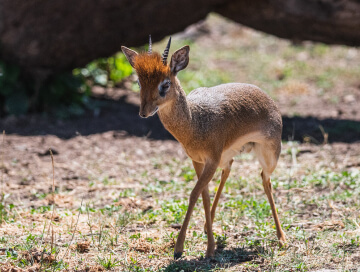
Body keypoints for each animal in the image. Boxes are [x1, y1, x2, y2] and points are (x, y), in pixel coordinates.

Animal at [122, 36, 286, 260]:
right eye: (139, 82)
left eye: (165, 84)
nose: (143, 112)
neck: (196, 121)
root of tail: (268, 99)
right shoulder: (198, 161)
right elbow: (204, 196)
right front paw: (204, 245)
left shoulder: (211, 161)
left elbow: (193, 194)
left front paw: (186, 248)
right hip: (227, 156)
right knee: (229, 170)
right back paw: (210, 228)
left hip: (269, 156)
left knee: (266, 180)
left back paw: (282, 238)